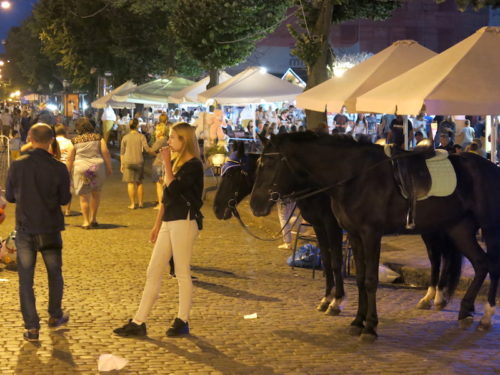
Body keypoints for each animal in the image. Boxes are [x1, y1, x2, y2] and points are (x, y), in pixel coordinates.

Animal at [250, 133, 496, 344]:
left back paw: (486, 315)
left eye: (269, 164)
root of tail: (491, 167)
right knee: (478, 263)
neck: (354, 176)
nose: (255, 204)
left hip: (488, 228)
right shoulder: (353, 234)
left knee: (485, 265)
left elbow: (368, 278)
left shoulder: (368, 234)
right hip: (458, 229)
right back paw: (463, 310)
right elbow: (356, 276)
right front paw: (356, 321)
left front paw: (368, 325)